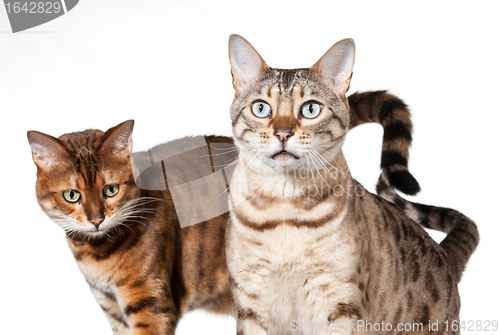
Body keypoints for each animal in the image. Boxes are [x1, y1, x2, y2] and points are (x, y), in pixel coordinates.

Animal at [28, 91, 422, 334]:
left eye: (111, 190)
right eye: (72, 195)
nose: (96, 218)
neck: (97, 253)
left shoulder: (149, 305)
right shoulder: (113, 311)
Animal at [225, 34, 478, 335]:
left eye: (310, 109)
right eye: (261, 108)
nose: (283, 133)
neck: (284, 209)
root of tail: (444, 253)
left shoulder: (341, 304)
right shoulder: (251, 306)